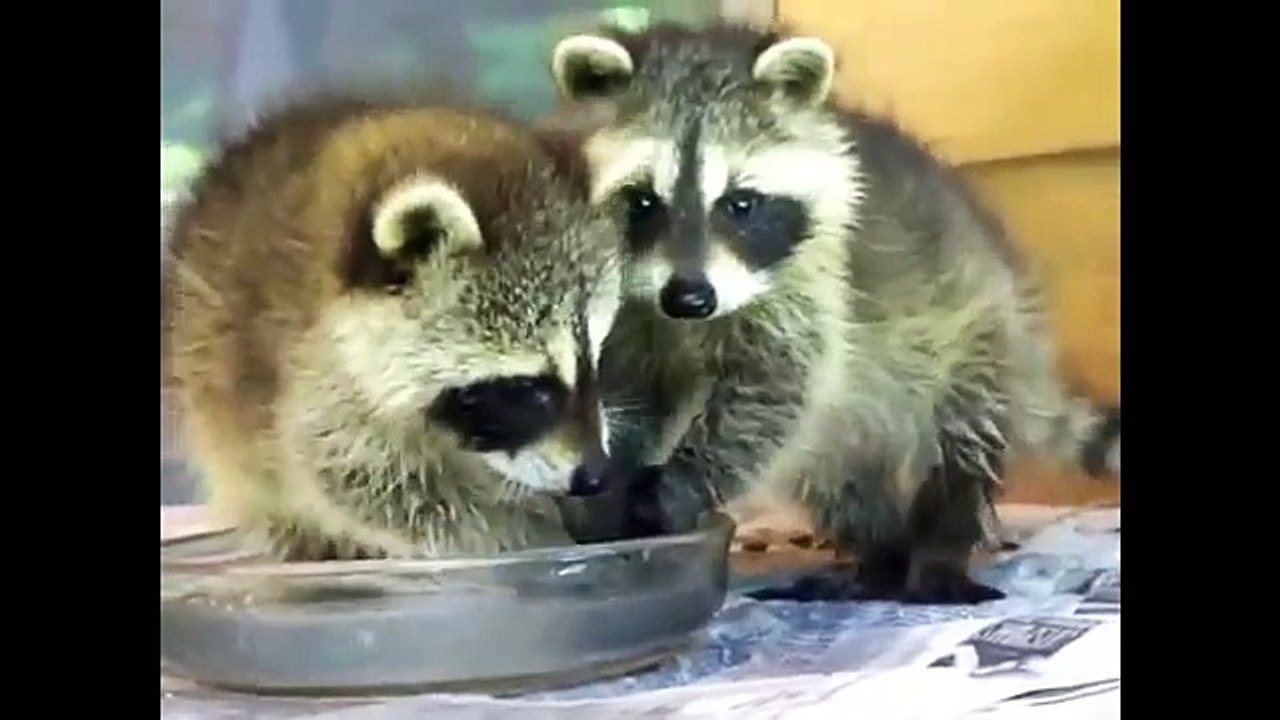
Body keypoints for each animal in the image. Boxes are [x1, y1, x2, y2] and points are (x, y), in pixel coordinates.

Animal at [160, 92, 629, 562]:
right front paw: (524, 532)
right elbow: (359, 479)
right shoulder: (311, 376)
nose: (596, 475)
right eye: (526, 387)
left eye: (594, 359)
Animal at [546, 23, 1121, 603]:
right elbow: (627, 395)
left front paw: (677, 484)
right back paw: (881, 559)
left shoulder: (812, 291)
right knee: (842, 487)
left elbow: (772, 394)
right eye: (641, 201)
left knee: (960, 455)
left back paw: (939, 553)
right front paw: (606, 485)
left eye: (740, 203)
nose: (690, 298)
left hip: (977, 343)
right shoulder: (619, 315)